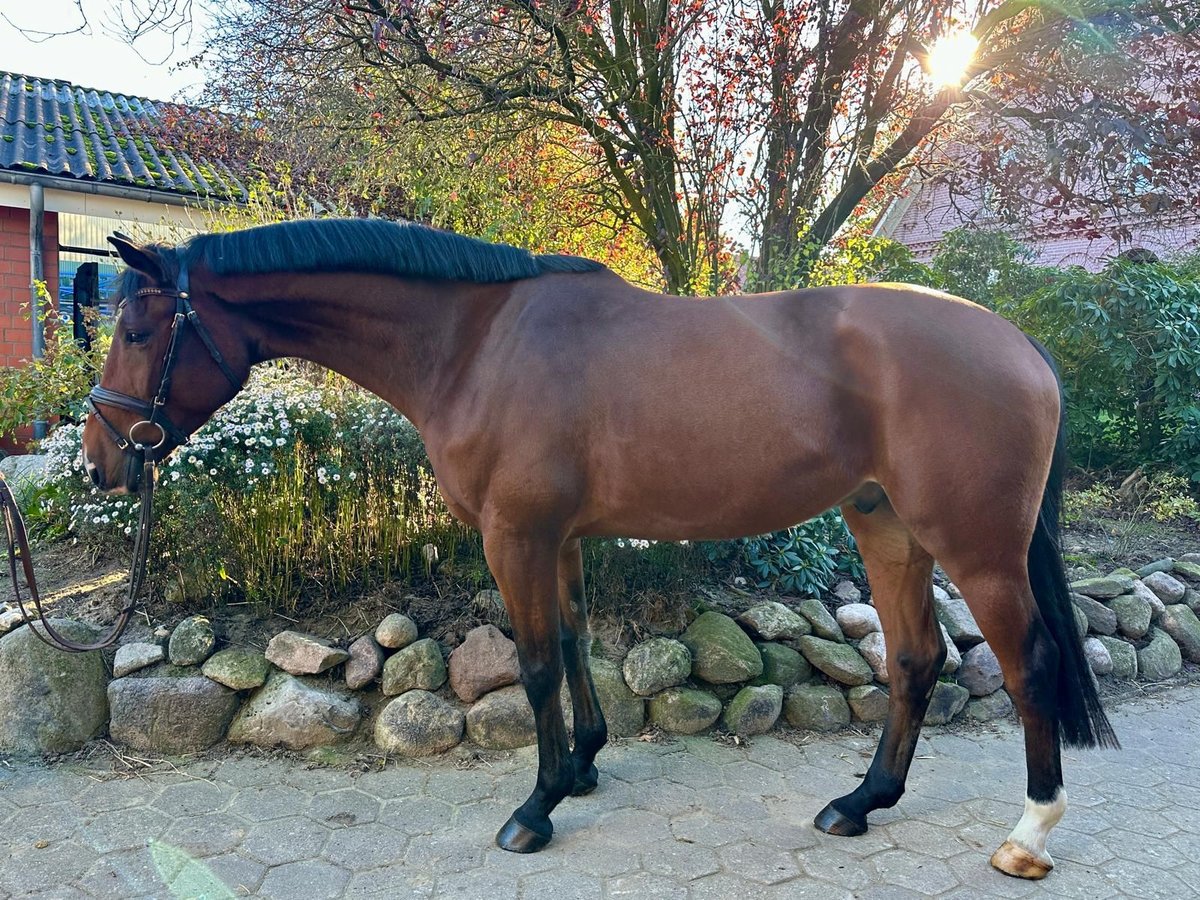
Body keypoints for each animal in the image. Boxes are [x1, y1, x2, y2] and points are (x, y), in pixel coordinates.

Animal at [81, 218, 1116, 879]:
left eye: (136, 327)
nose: (98, 460)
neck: (475, 344)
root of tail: (1022, 344)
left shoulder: (516, 536)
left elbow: (537, 662)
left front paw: (534, 810)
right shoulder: (561, 538)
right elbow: (576, 643)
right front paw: (580, 765)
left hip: (975, 545)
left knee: (1029, 664)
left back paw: (1030, 833)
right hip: (885, 523)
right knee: (913, 659)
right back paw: (860, 804)